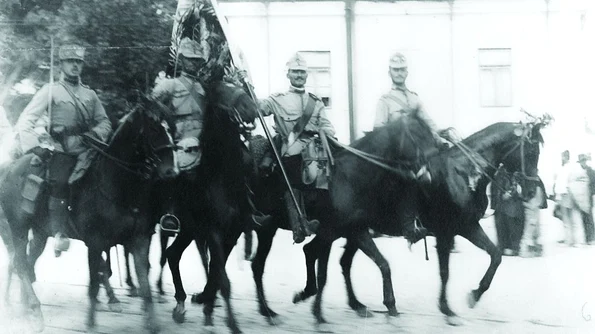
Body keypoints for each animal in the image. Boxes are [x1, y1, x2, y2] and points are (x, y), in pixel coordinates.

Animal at [0, 95, 178, 332]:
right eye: (153, 128)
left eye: (172, 127)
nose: (171, 172)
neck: (117, 185)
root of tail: (9, 167)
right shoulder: (95, 242)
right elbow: (95, 282)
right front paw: (92, 323)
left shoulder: (139, 240)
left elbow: (144, 281)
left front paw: (152, 323)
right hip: (17, 228)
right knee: (19, 263)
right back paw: (33, 310)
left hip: (39, 234)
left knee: (27, 265)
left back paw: (25, 308)